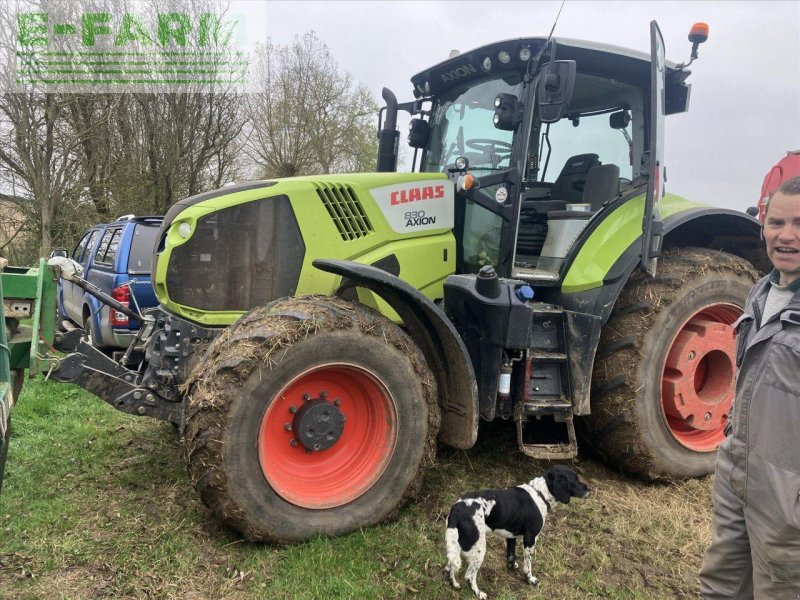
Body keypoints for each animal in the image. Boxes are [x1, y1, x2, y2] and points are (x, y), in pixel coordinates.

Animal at [446, 466, 592, 596]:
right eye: (575, 480)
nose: (590, 489)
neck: (540, 493)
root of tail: (457, 509)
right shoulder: (530, 538)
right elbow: (527, 565)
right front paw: (530, 579)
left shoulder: (512, 536)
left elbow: (511, 556)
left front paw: (512, 568)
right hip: (479, 549)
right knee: (469, 576)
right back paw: (479, 593)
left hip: (457, 545)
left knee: (450, 567)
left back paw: (455, 585)